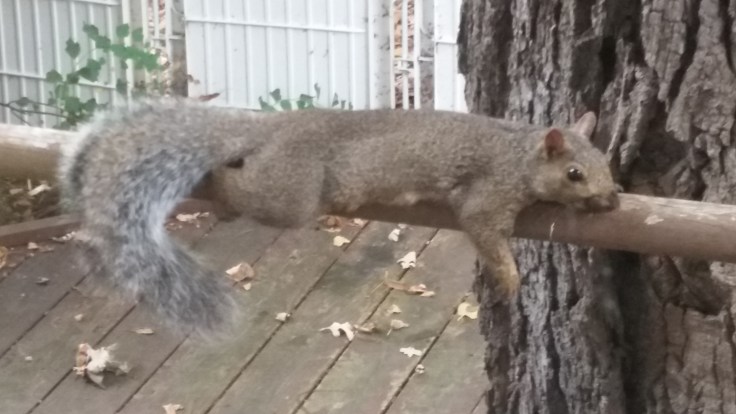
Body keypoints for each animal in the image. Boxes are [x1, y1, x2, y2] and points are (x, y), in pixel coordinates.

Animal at [59, 98, 619, 333]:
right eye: (574, 173)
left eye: (607, 161)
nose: (612, 196)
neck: (522, 156)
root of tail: (275, 129)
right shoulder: (488, 194)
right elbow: (485, 230)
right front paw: (508, 277)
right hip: (289, 190)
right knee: (245, 188)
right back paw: (219, 180)